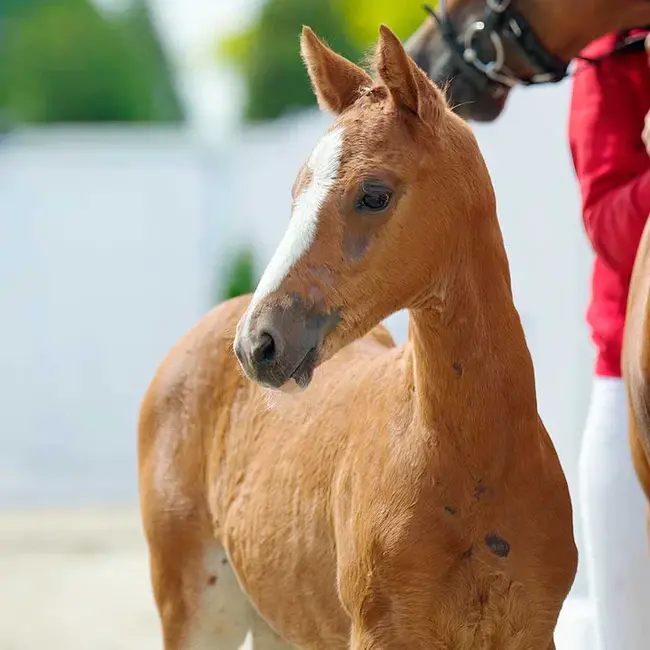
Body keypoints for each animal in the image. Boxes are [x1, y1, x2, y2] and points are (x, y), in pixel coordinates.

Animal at [139, 22, 576, 644]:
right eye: (295, 194)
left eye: (374, 194)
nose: (257, 344)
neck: (474, 466)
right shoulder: (381, 632)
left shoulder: (533, 632)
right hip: (195, 605)